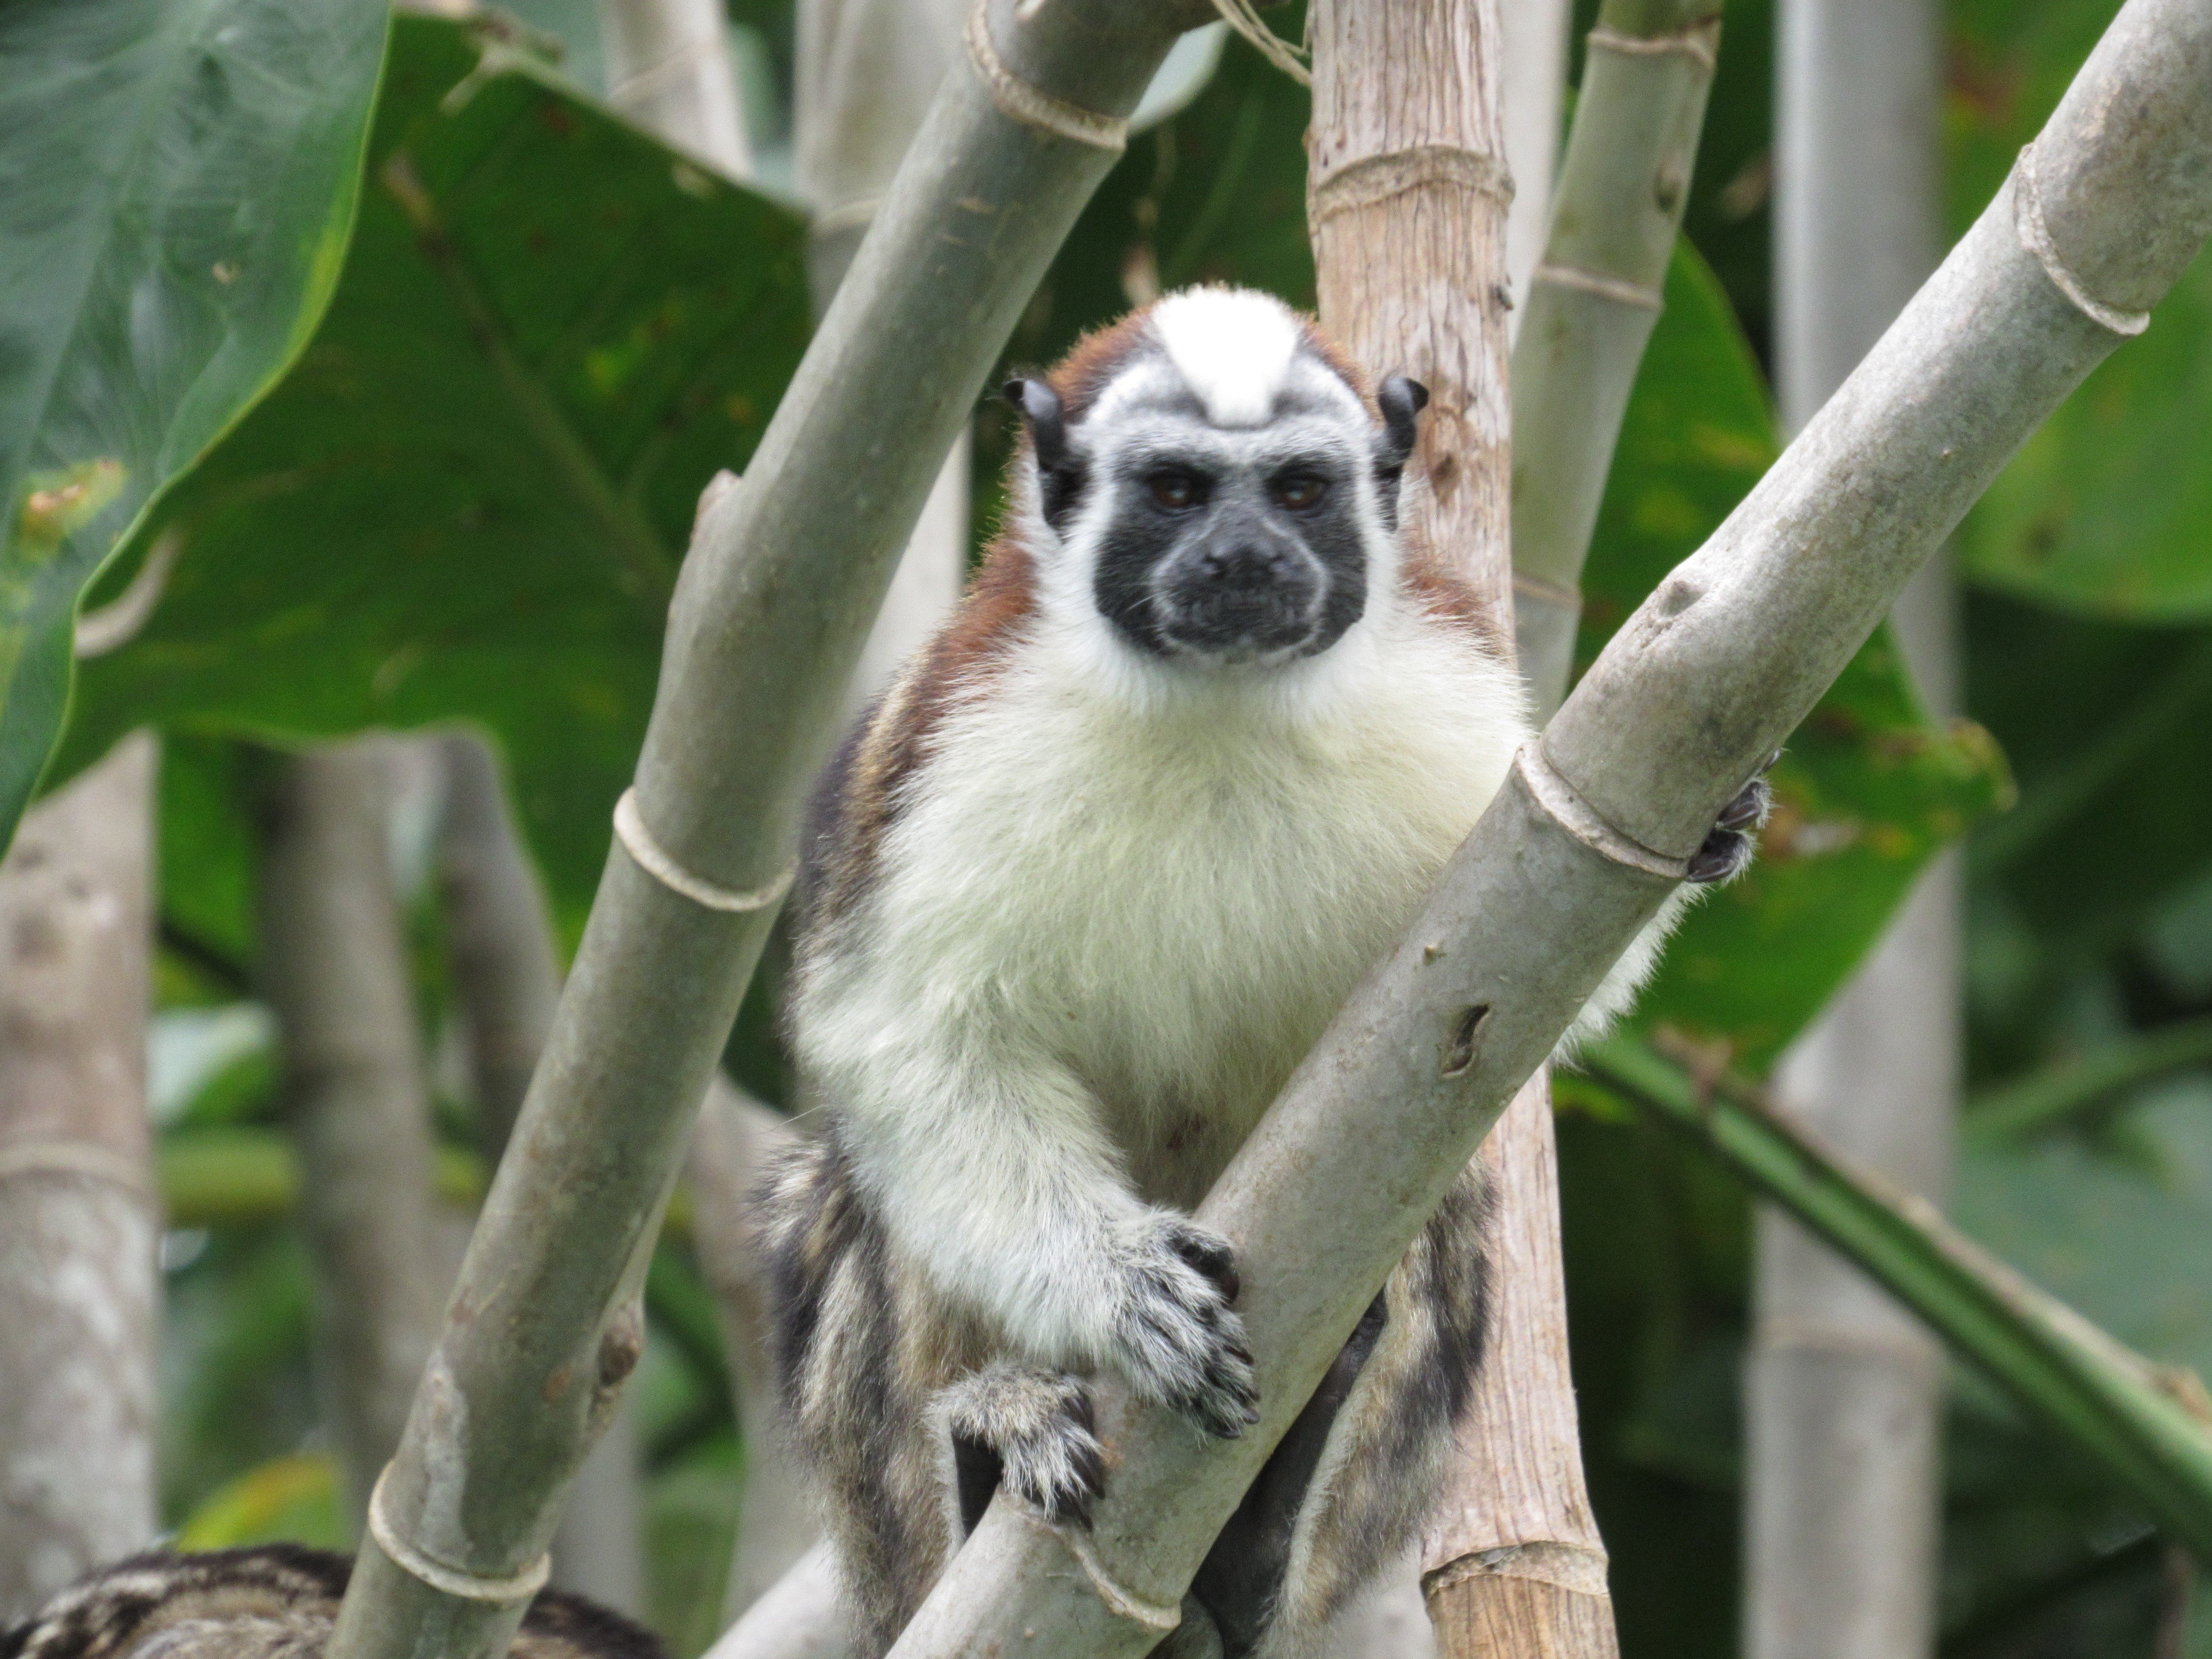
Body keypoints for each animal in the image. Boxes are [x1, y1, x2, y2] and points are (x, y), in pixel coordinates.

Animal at [760, 285, 1768, 1658]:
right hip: (888, 1550)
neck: (1220, 705)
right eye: (1178, 491)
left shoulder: (1456, 701)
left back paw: (1262, 1535)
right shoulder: (944, 749)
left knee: (1444, 1221)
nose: (1243, 559)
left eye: (1296, 491)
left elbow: (1553, 986)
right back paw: (988, 1461)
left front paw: (1709, 822)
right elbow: (909, 1042)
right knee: (851, 1197)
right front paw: (1119, 1289)